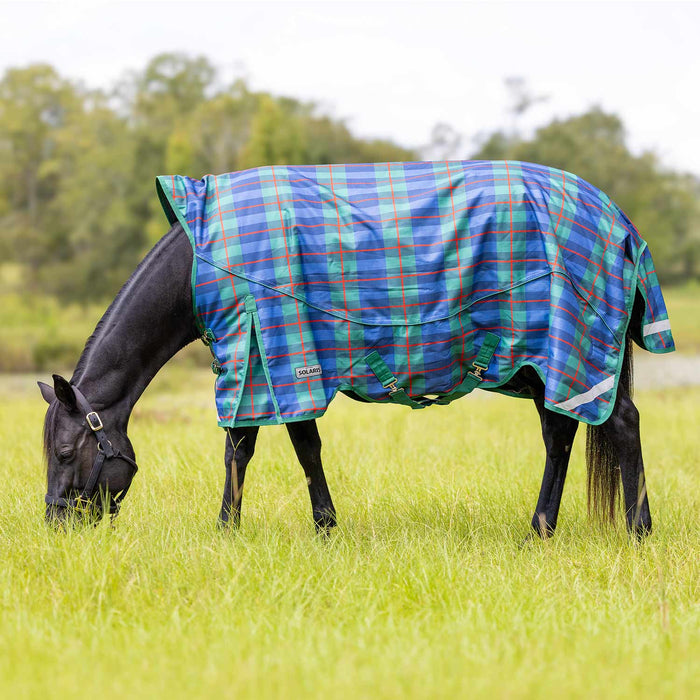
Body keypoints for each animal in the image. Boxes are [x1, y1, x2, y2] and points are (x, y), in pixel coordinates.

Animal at [39, 160, 674, 539]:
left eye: (66, 452)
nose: (55, 525)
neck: (202, 261)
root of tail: (617, 221)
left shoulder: (268, 357)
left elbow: (253, 448)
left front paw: (232, 528)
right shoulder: (274, 362)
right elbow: (295, 448)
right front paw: (318, 525)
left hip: (569, 352)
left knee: (620, 424)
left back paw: (637, 531)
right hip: (546, 363)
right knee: (561, 437)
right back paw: (540, 529)